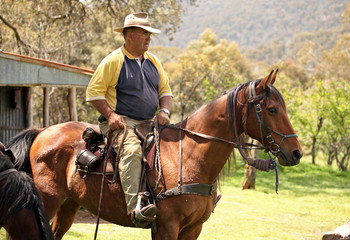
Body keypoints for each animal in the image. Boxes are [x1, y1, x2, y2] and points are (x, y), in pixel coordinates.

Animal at [6, 70, 300, 239]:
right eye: (272, 109)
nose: (296, 152)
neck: (188, 157)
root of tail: (42, 131)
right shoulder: (167, 227)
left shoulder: (193, 229)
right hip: (47, 201)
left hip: (68, 205)